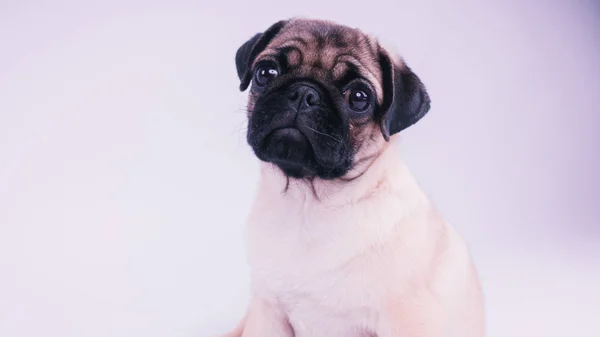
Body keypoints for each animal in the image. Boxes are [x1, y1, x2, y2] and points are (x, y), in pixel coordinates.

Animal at [223, 18, 486, 336]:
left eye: (359, 98)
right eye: (266, 72)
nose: (304, 93)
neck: (309, 206)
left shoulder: (407, 322)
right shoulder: (268, 313)